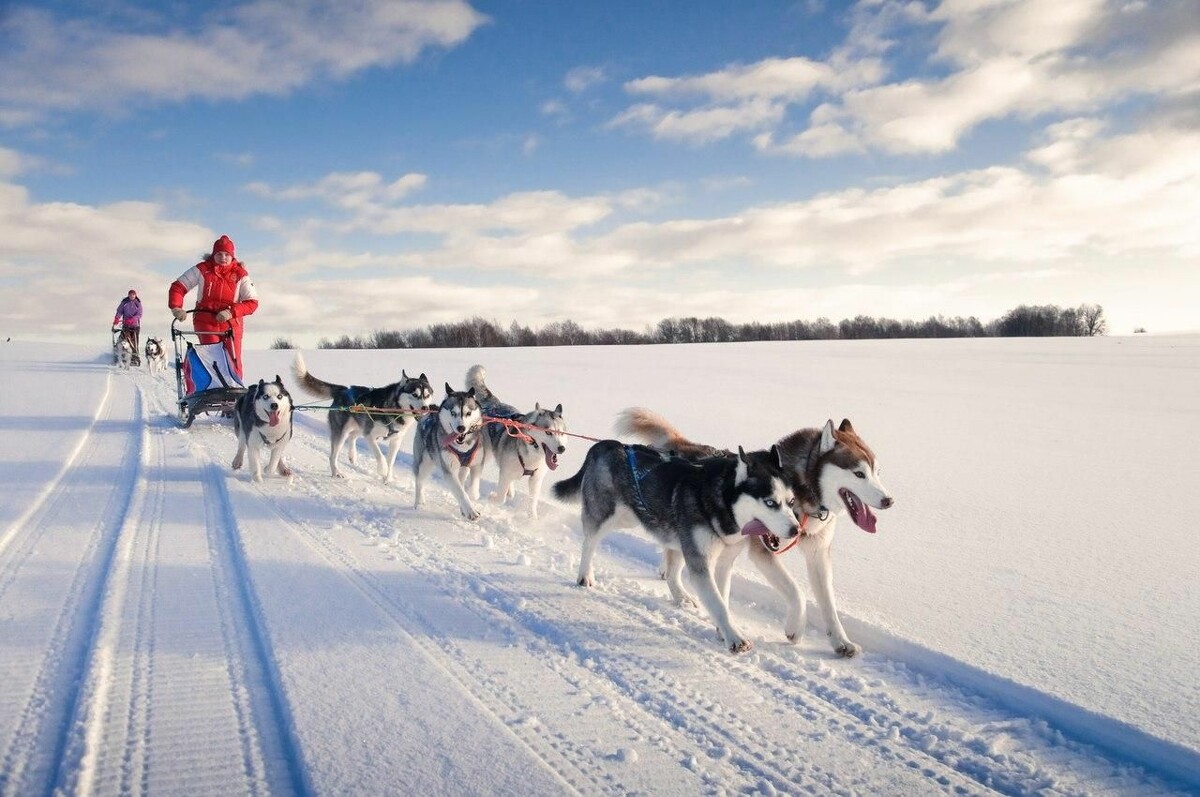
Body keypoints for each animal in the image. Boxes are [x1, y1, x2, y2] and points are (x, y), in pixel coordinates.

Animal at [292, 352, 434, 480]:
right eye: (414, 394)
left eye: (427, 395)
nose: (425, 408)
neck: (394, 409)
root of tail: (344, 390)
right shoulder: (370, 435)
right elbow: (380, 455)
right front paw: (382, 469)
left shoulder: (396, 440)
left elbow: (391, 461)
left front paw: (388, 478)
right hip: (342, 432)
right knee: (333, 455)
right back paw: (336, 472)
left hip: (359, 426)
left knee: (352, 436)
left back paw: (352, 455)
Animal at [412, 386, 487, 523]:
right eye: (453, 413)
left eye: (468, 413)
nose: (461, 428)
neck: (463, 447)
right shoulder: (449, 470)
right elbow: (460, 492)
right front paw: (471, 511)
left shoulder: (477, 464)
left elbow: (471, 489)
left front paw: (470, 501)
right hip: (424, 463)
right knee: (419, 481)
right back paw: (419, 502)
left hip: (462, 468)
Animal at [463, 364, 566, 520]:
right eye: (548, 432)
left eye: (561, 432)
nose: (561, 448)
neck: (532, 455)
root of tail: (493, 403)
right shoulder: (505, 473)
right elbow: (500, 498)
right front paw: (492, 498)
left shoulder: (536, 479)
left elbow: (532, 502)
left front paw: (532, 519)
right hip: (486, 454)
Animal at [554, 439, 801, 652]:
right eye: (770, 503)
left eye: (791, 502)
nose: (796, 530)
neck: (720, 503)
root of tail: (606, 444)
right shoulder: (700, 561)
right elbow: (718, 604)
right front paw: (735, 638)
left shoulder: (723, 561)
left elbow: (722, 598)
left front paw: (723, 630)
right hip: (609, 516)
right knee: (590, 541)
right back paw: (585, 575)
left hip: (660, 528)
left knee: (672, 571)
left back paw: (682, 596)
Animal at [619, 408, 892, 657]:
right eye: (859, 474)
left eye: (877, 472)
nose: (889, 500)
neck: (802, 490)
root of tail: (683, 446)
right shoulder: (763, 551)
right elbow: (798, 593)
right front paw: (795, 629)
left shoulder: (818, 554)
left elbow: (828, 603)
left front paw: (841, 642)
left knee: (672, 559)